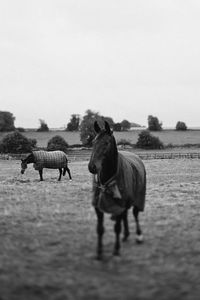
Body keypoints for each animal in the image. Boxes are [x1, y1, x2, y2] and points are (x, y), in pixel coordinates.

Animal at [88, 120, 146, 258]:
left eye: (106, 143)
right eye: (93, 142)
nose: (92, 167)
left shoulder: (119, 205)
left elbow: (117, 228)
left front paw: (116, 249)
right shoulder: (99, 206)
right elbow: (100, 229)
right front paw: (99, 253)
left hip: (137, 197)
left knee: (135, 214)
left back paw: (138, 235)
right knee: (125, 215)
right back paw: (126, 235)